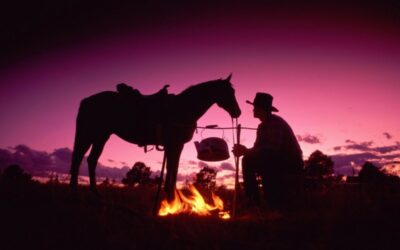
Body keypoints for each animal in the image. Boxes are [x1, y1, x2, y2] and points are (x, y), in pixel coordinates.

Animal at [69, 75, 241, 198]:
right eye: (229, 92)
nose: (237, 112)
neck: (183, 107)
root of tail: (87, 100)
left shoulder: (175, 146)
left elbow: (173, 168)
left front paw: (170, 195)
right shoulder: (175, 145)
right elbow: (172, 169)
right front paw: (171, 196)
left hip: (101, 137)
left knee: (91, 160)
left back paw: (95, 193)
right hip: (89, 135)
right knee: (78, 158)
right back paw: (75, 193)